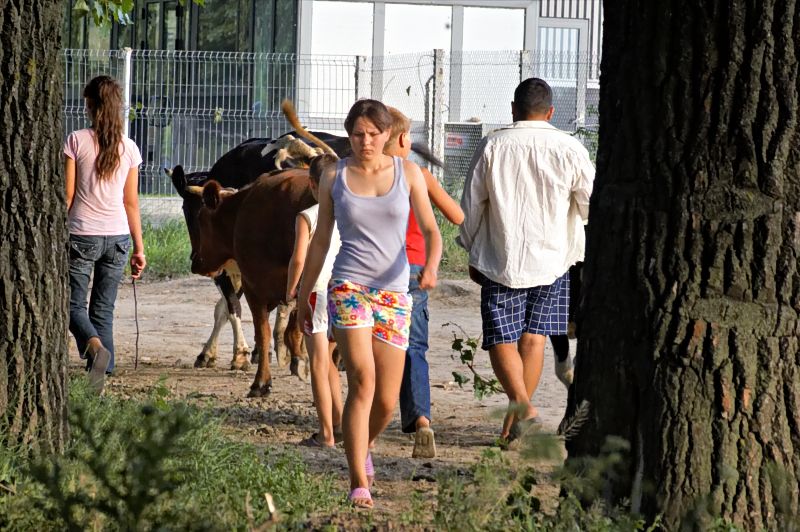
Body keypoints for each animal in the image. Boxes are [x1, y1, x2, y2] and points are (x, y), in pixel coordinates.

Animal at [191, 169, 316, 394]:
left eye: (201, 220)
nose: (194, 261)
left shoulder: (253, 284)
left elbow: (262, 331)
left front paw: (261, 382)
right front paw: (297, 358)